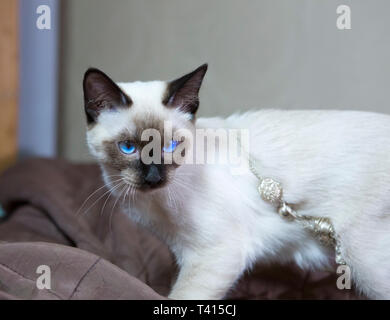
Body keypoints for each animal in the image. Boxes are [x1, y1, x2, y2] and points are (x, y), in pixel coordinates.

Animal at [82, 65, 390, 300]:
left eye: (170, 145)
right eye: (128, 148)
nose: (154, 177)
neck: (154, 204)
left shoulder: (214, 254)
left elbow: (179, 296)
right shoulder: (179, 250)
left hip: (361, 259)